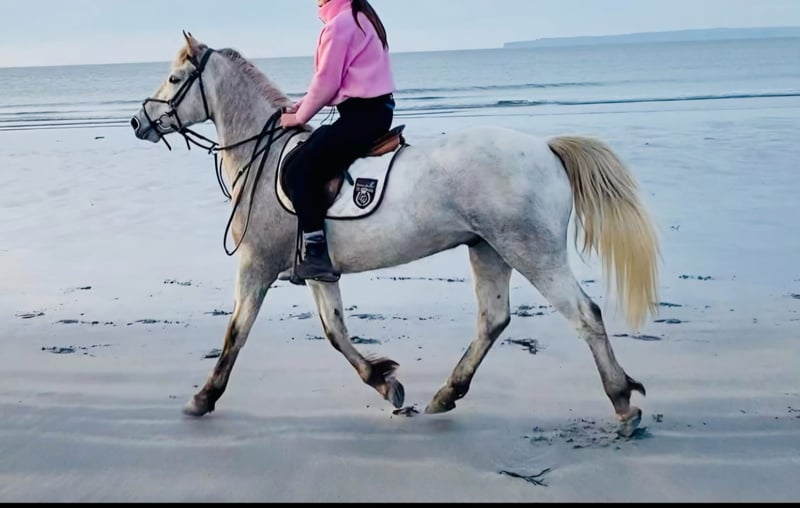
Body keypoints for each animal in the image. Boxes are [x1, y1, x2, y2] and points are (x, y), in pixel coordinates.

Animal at [130, 33, 660, 434]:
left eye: (174, 79)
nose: (138, 121)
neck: (265, 155)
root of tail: (547, 149)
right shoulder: (318, 270)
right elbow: (336, 331)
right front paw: (386, 383)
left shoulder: (255, 265)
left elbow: (236, 332)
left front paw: (203, 398)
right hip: (488, 250)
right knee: (493, 320)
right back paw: (446, 394)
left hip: (531, 251)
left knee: (584, 314)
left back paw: (622, 401)